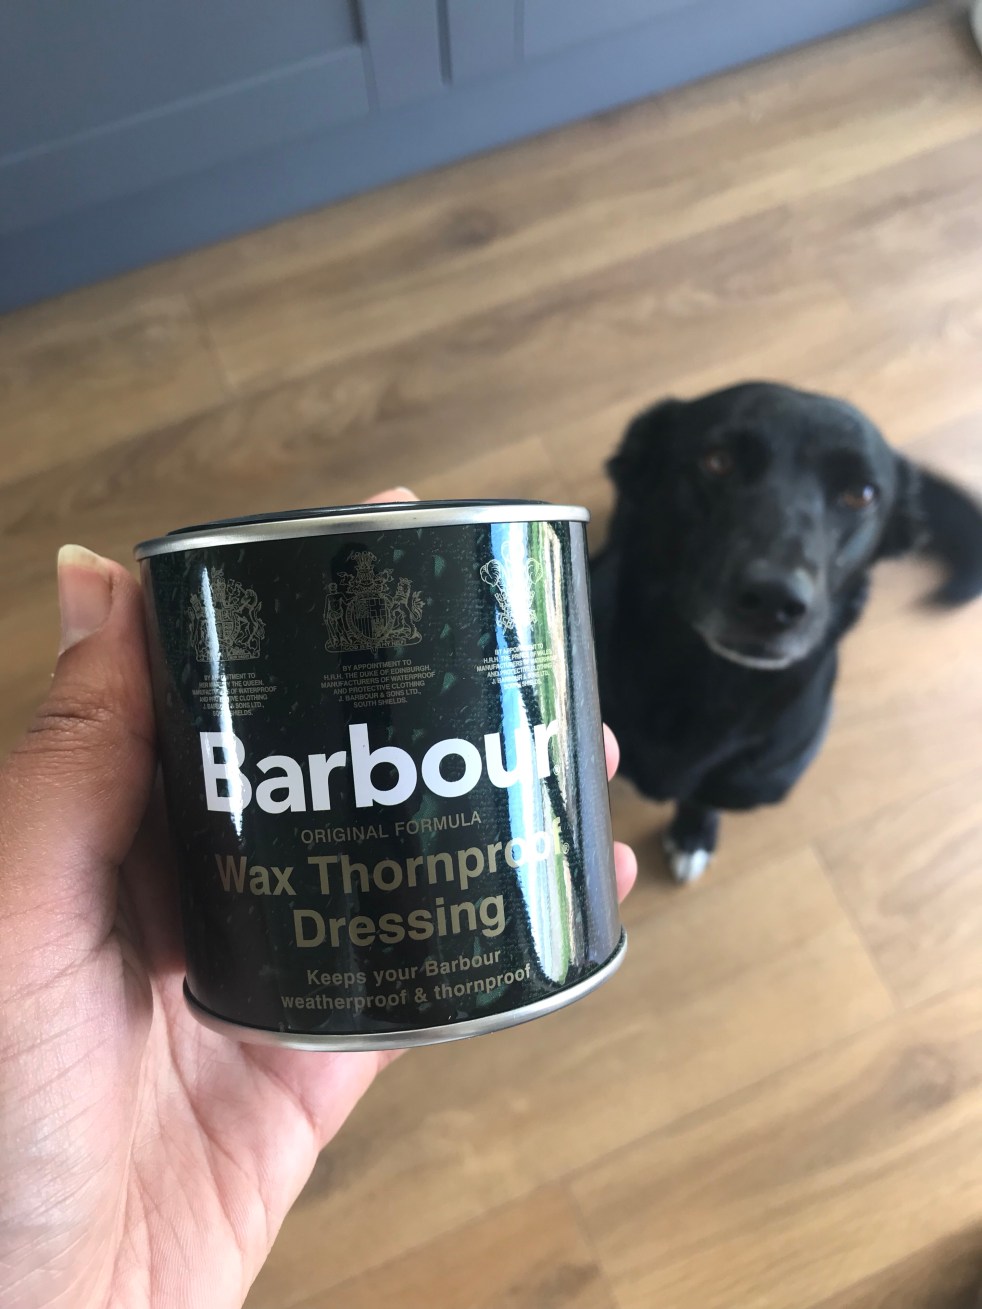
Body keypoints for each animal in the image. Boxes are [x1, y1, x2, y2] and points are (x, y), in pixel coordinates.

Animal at [590, 381, 982, 883]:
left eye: (861, 494)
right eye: (717, 461)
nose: (773, 600)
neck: (710, 684)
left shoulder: (745, 780)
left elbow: (702, 798)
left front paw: (693, 834)